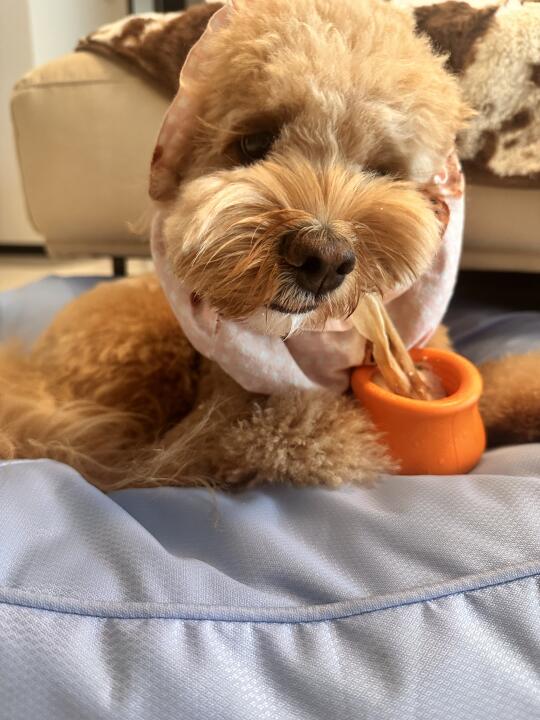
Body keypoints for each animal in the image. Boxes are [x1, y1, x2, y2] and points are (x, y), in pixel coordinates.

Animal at [2, 0, 525, 491]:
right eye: (253, 143)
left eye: (382, 169)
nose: (323, 259)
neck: (315, 341)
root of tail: (28, 373)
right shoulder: (240, 429)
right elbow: (317, 434)